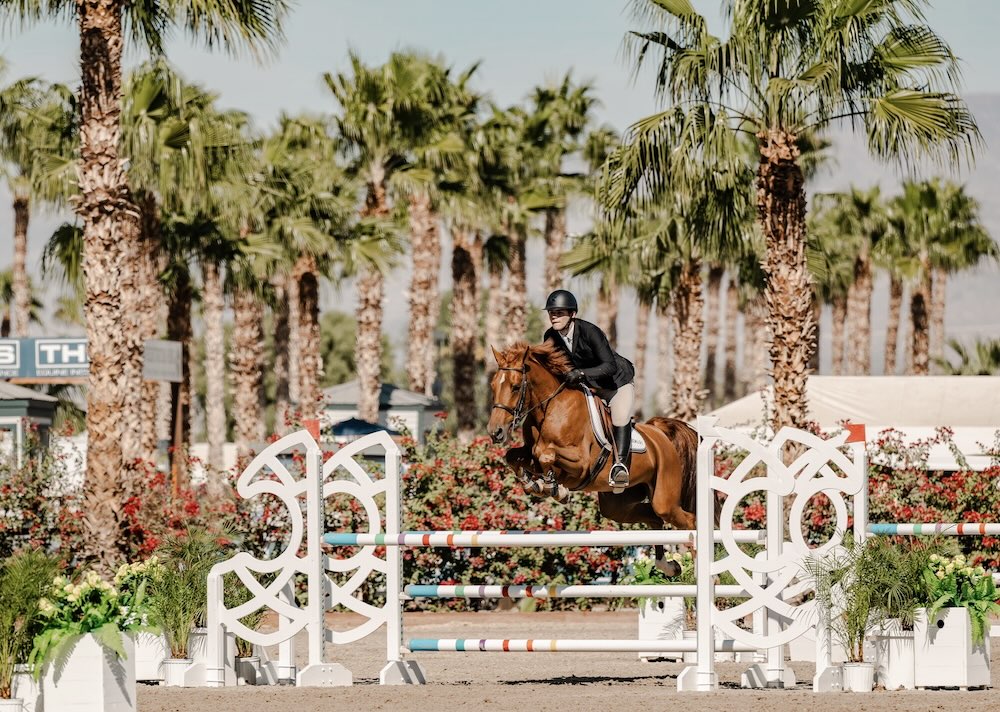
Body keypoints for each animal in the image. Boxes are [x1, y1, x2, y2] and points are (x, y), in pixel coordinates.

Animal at [488, 342, 700, 548]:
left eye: (515, 387)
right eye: (493, 386)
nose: (495, 432)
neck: (550, 408)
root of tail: (659, 433)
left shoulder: (581, 464)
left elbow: (544, 453)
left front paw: (555, 489)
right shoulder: (530, 454)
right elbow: (513, 456)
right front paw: (534, 484)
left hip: (664, 498)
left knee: (687, 520)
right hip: (618, 504)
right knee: (654, 519)